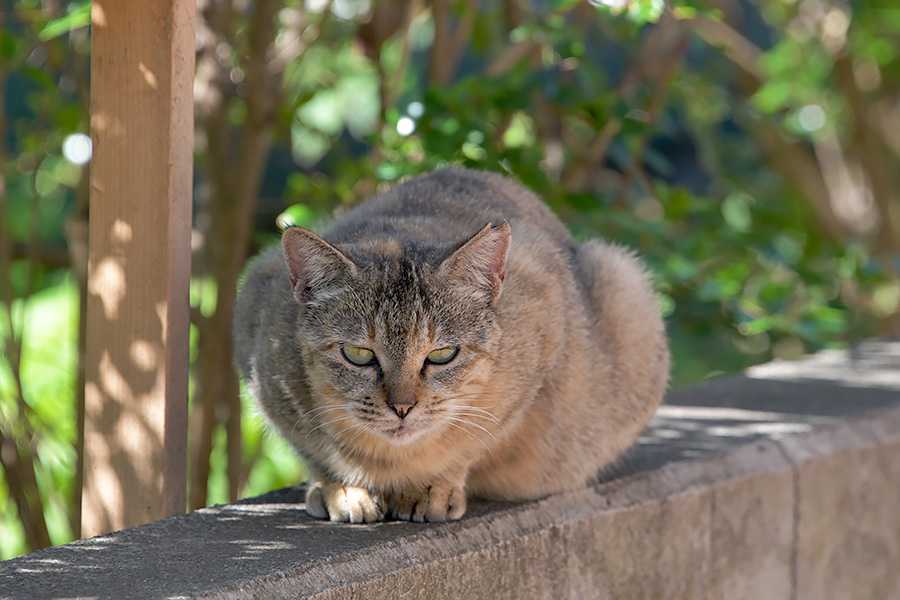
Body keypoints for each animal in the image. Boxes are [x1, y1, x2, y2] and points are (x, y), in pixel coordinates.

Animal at [232, 168, 668, 520]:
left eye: (442, 355)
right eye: (358, 355)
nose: (402, 407)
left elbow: (469, 445)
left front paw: (432, 487)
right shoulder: (261, 346)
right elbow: (315, 452)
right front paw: (341, 487)